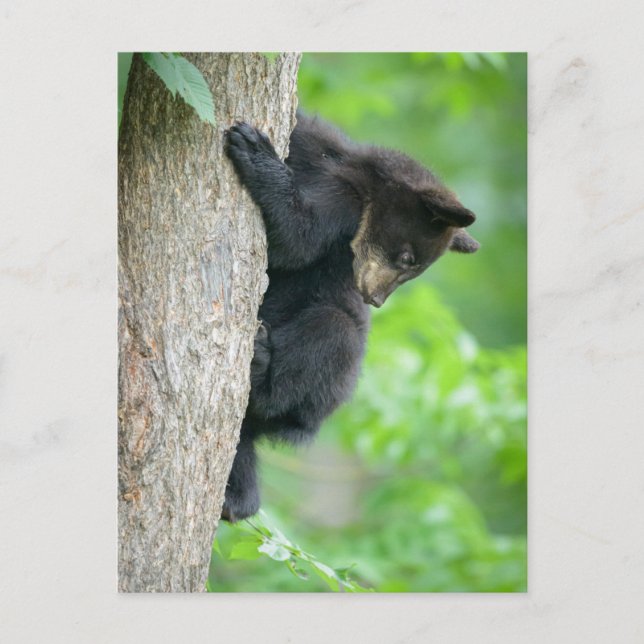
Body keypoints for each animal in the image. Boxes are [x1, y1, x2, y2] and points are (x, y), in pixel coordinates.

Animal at [221, 112, 479, 522]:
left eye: (413, 268)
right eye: (407, 259)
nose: (374, 299)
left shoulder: (343, 209)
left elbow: (297, 240)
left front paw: (255, 150)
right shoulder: (317, 149)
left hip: (327, 384)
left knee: (330, 336)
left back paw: (261, 368)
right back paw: (236, 497)